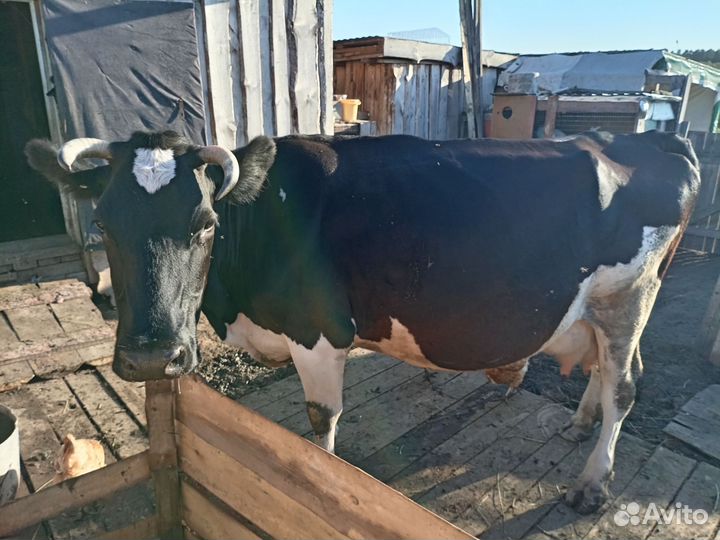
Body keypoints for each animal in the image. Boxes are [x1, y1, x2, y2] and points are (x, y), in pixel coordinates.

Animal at [25, 129, 699, 514]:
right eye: (102, 223)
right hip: (607, 307)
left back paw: (593, 484)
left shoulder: (319, 331)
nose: (150, 357)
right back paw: (581, 423)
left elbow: (321, 423)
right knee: (609, 370)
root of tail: (653, 140)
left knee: (625, 386)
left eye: (205, 223)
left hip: (629, 294)